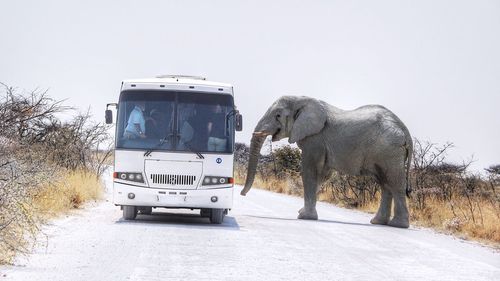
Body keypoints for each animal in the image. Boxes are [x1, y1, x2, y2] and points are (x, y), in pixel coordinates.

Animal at [240, 96, 412, 228]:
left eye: (278, 115)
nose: (242, 194)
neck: (300, 99)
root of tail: (404, 129)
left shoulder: (315, 139)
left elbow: (310, 170)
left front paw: (304, 217)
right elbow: (322, 175)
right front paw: (302, 212)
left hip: (389, 151)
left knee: (394, 182)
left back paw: (398, 225)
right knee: (385, 183)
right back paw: (377, 222)